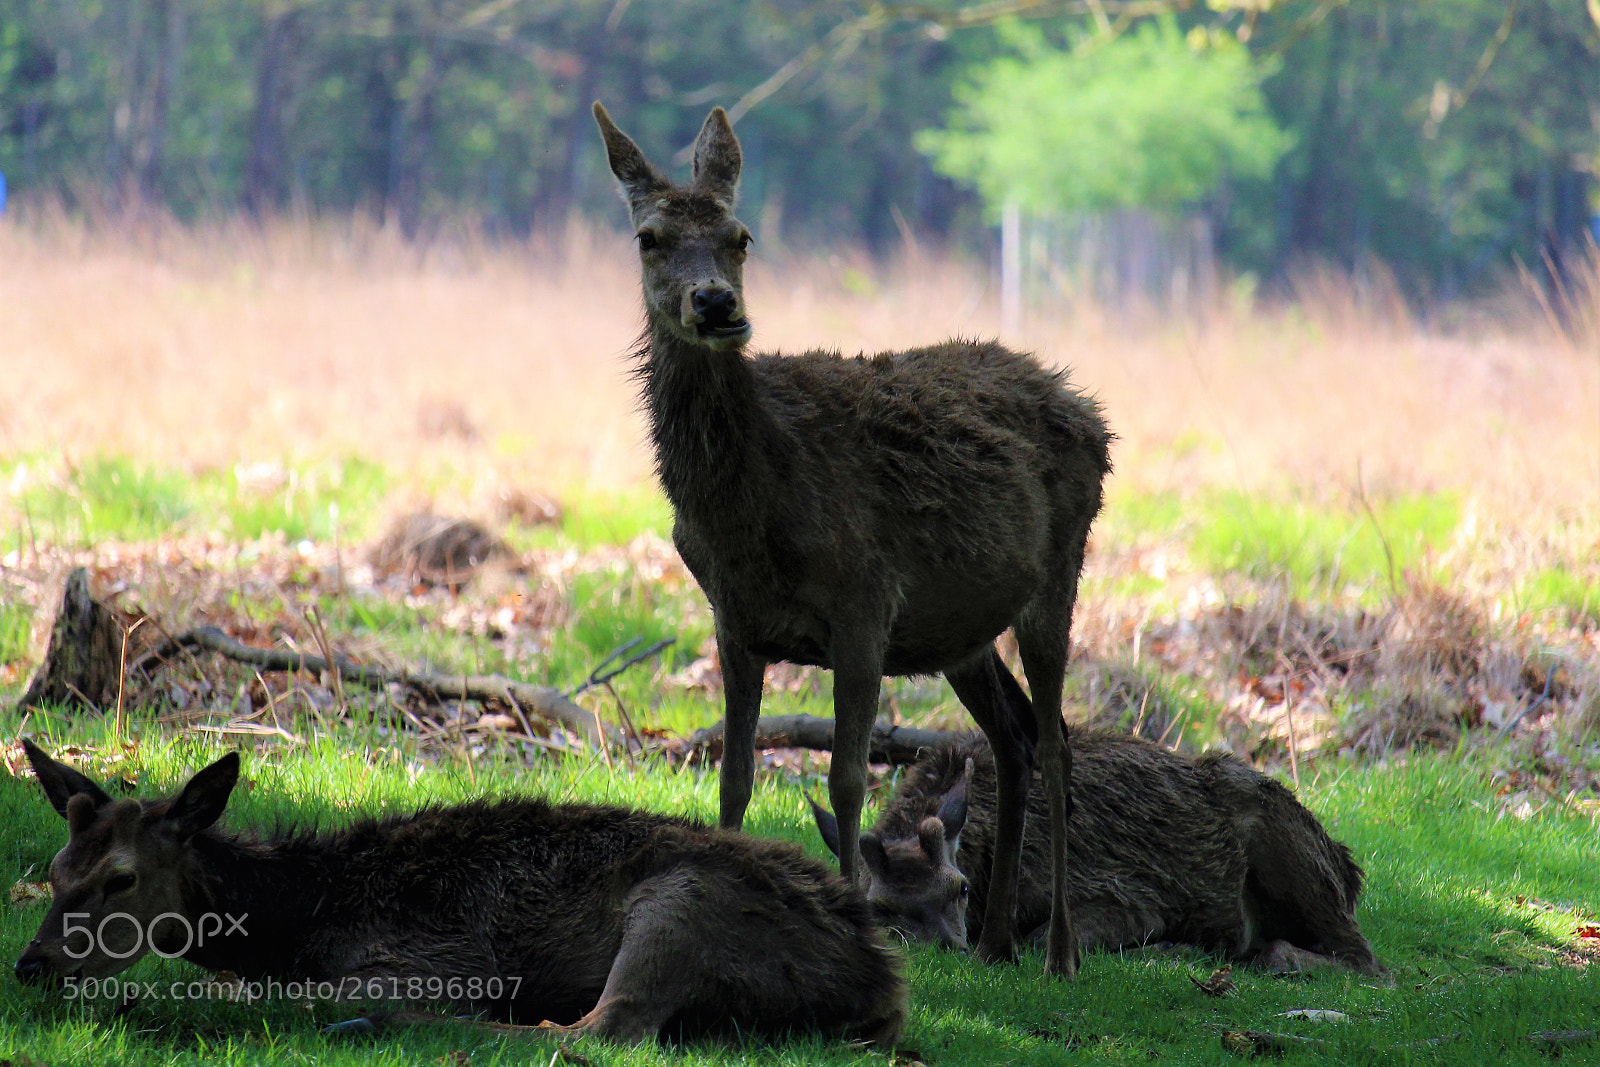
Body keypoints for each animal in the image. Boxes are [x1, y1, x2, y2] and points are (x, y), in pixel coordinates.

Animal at [12, 740, 906, 1046]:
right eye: (53, 872)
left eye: (120, 877)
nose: (31, 963)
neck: (304, 920)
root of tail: (878, 978)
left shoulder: (435, 955)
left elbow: (294, 997)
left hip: (679, 905)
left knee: (604, 1029)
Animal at [592, 102, 1112, 978]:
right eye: (649, 237)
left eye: (740, 235)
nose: (715, 304)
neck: (748, 509)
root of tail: (1090, 409)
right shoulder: (734, 619)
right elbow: (736, 776)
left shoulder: (864, 600)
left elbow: (844, 780)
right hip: (960, 630)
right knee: (1011, 739)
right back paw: (995, 939)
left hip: (1061, 568)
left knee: (1057, 742)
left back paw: (1060, 951)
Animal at [812, 731, 1381, 975]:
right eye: (878, 908)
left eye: (961, 889)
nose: (949, 948)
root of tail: (1351, 870)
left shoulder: (1124, 894)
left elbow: (1041, 942)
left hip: (1288, 849)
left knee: (1369, 963)